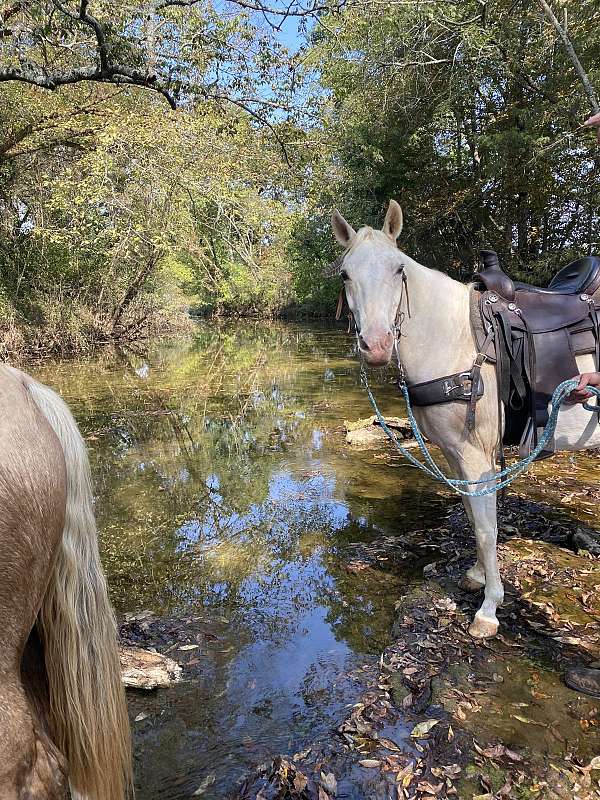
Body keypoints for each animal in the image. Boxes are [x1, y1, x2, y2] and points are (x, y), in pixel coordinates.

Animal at [330, 203, 600, 640]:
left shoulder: (477, 457)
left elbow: (488, 528)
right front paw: (475, 576)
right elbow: (473, 518)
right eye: (345, 274)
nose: (377, 346)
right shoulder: (455, 455)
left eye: (398, 270)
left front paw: (489, 608)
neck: (454, 338)